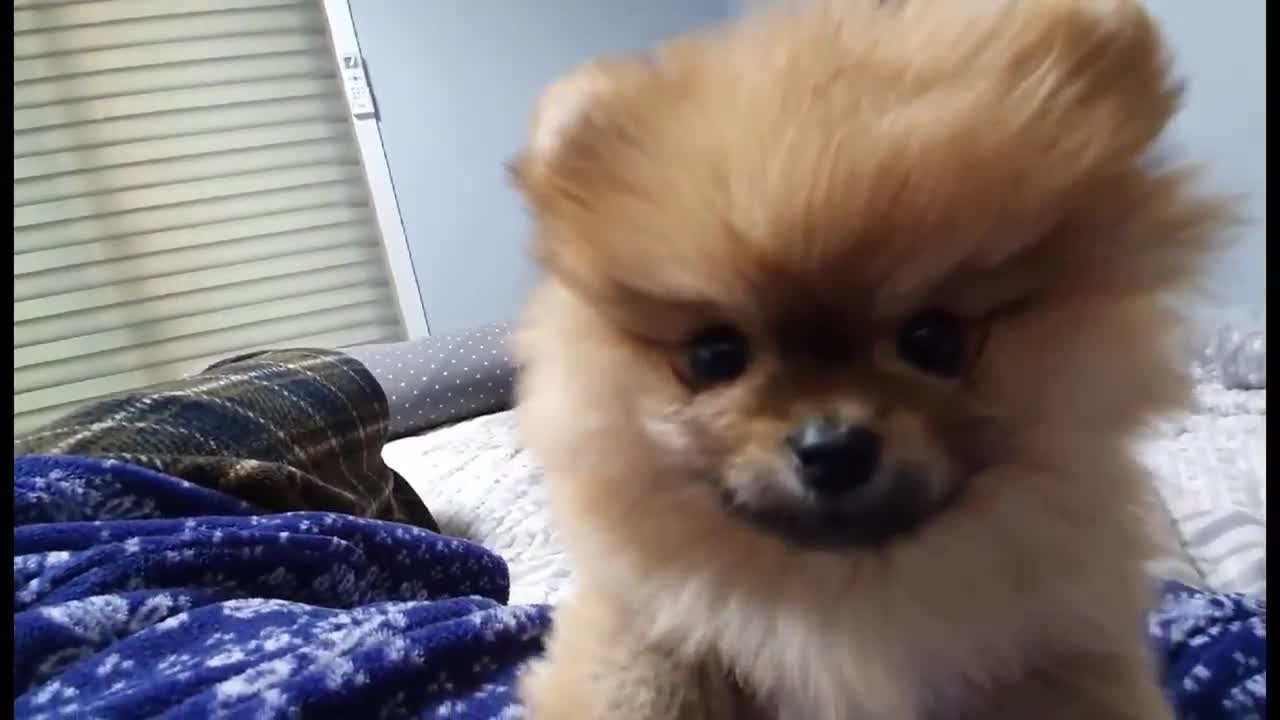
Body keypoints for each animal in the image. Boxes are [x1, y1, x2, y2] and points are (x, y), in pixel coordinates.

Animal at [512, 2, 1239, 712]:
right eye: (715, 353)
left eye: (935, 338)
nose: (833, 449)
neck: (852, 604)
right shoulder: (648, 632)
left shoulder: (1060, 651)